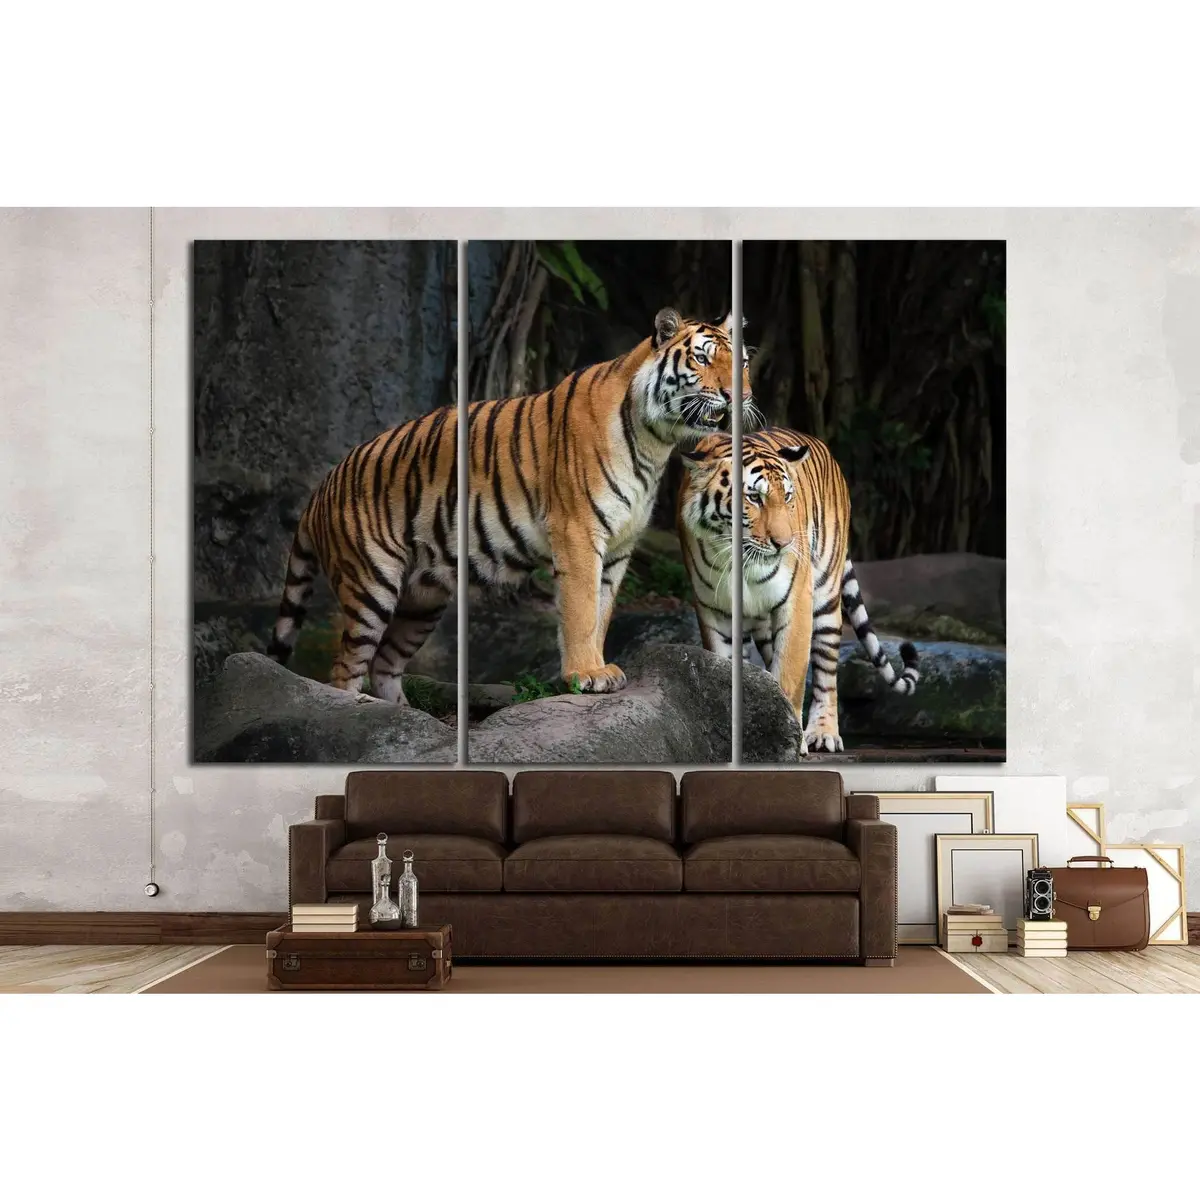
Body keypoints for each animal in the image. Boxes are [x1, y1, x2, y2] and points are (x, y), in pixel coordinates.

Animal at [267, 307, 752, 700]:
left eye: (742, 361)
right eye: (703, 358)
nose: (740, 396)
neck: (657, 441)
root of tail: (323, 485)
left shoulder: (619, 547)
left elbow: (602, 611)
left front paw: (599, 666)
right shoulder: (578, 533)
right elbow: (580, 609)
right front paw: (586, 674)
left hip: (422, 598)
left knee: (385, 663)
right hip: (371, 584)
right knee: (346, 669)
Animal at [677, 427, 919, 755]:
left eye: (788, 496)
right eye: (754, 497)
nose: (785, 543)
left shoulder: (795, 602)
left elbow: (789, 675)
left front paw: (788, 742)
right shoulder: (713, 611)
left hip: (825, 600)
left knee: (826, 674)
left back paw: (824, 734)